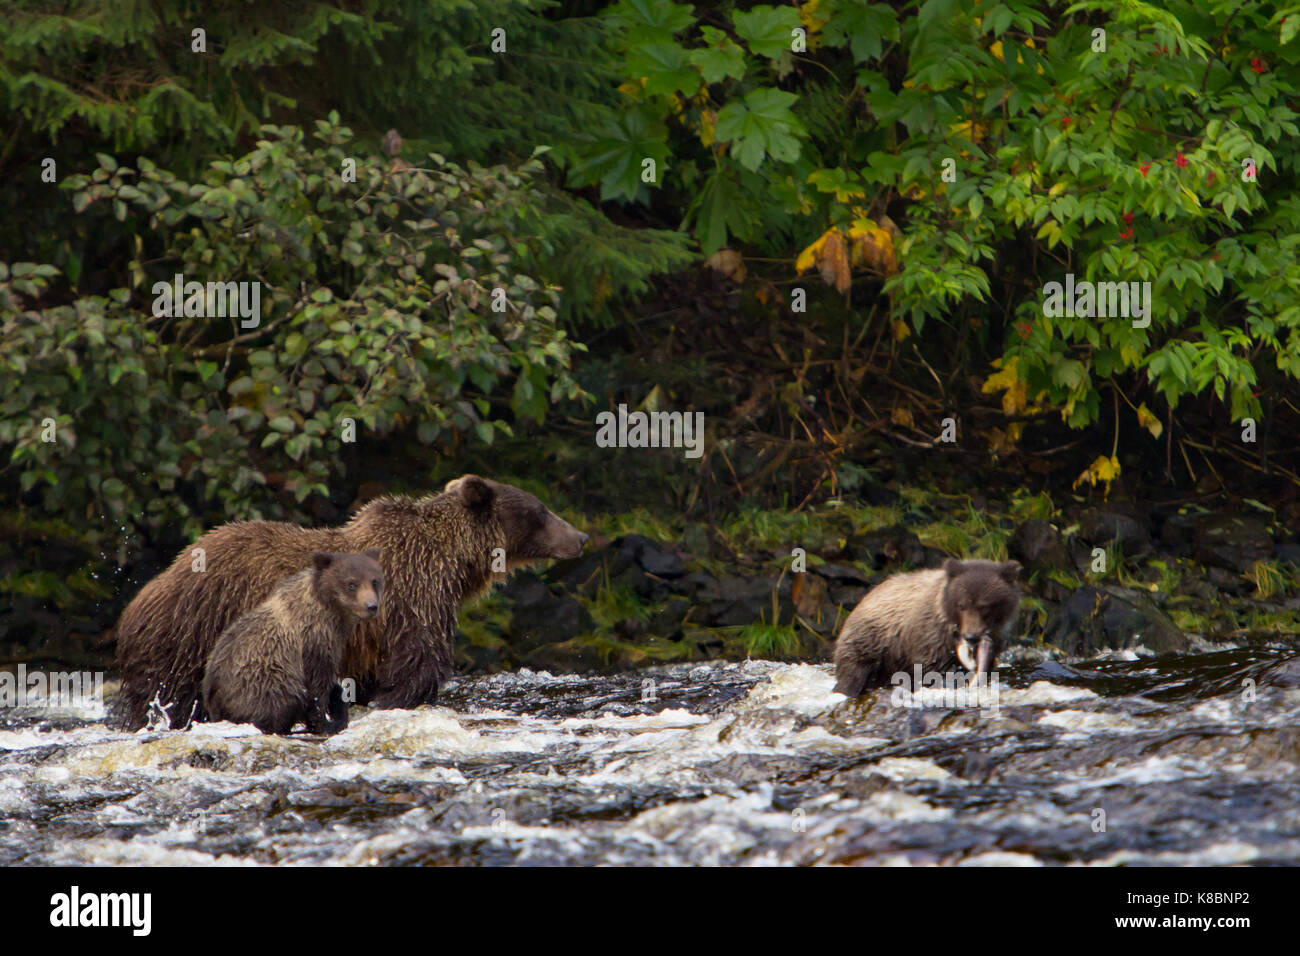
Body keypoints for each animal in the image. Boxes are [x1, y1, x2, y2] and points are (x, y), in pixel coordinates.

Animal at [202, 549, 384, 735]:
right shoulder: (313, 639)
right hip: (261, 679)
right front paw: (325, 723)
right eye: (351, 584)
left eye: (375, 581)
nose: (371, 606)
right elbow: (317, 686)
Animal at [832, 558, 1022, 697]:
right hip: (871, 642)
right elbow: (931, 668)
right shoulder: (930, 636)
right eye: (962, 605)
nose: (971, 637)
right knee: (853, 673)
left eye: (986, 606)